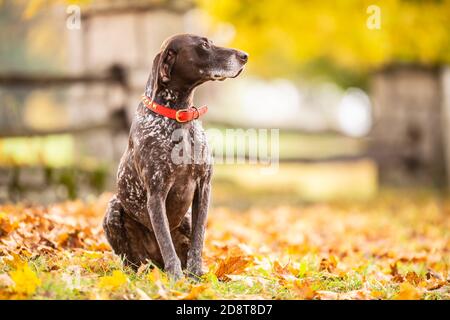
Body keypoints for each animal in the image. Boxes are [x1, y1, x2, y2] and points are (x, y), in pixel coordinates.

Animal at [103, 34, 248, 280]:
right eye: (204, 45)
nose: (244, 56)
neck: (179, 118)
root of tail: (155, 264)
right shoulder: (156, 194)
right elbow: (166, 242)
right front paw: (177, 279)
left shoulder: (203, 188)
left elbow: (198, 240)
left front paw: (196, 275)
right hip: (113, 209)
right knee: (133, 261)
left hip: (185, 219)